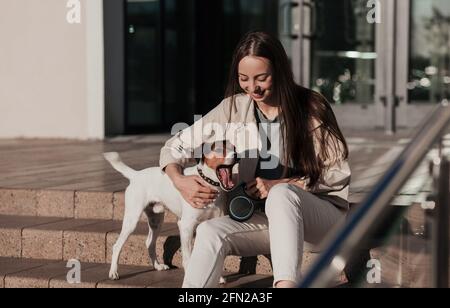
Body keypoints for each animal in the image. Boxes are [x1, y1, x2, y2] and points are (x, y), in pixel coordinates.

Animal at [103, 141, 237, 280]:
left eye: (235, 148)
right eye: (219, 149)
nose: (237, 155)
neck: (208, 183)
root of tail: (136, 175)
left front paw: (218, 277)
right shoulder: (186, 226)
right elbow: (188, 257)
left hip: (156, 221)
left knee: (149, 243)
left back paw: (157, 266)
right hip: (132, 219)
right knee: (117, 246)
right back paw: (113, 272)